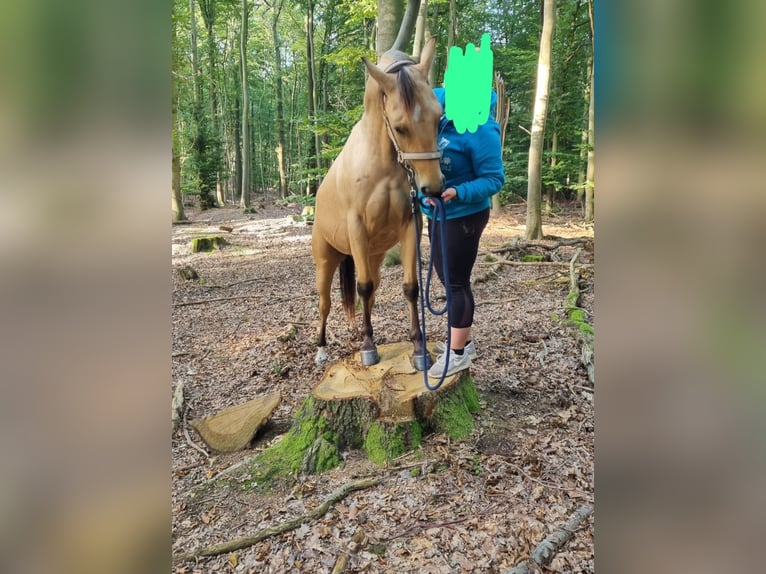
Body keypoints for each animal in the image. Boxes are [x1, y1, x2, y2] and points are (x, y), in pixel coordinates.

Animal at [310, 37, 444, 368]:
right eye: (400, 127)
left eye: (439, 117)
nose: (433, 188)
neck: (381, 164)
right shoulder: (357, 228)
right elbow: (362, 286)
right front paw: (369, 348)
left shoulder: (410, 225)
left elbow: (410, 287)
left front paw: (419, 349)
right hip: (326, 260)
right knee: (326, 303)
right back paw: (322, 350)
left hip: (372, 257)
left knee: (367, 296)